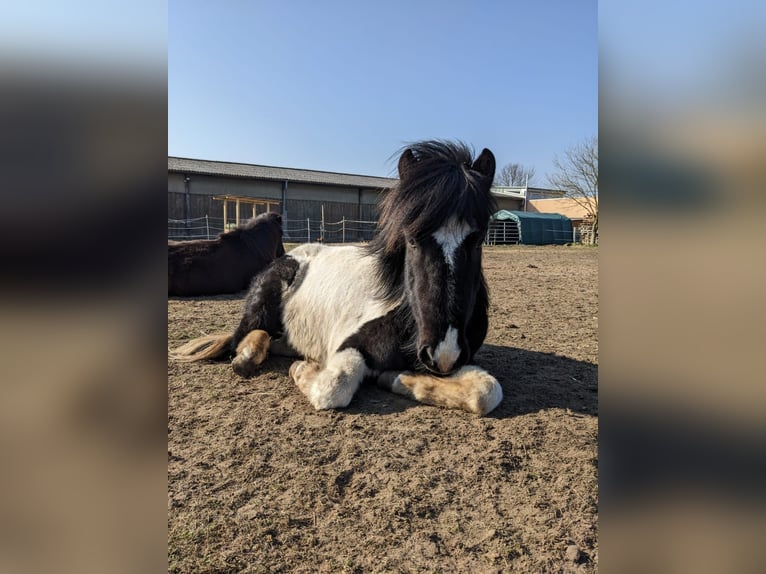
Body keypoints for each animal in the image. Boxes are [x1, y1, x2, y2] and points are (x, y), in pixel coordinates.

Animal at [176, 141, 510, 416]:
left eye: (477, 239)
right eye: (412, 239)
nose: (443, 352)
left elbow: (487, 392)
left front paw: (396, 378)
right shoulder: (350, 346)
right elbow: (333, 388)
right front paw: (302, 370)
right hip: (262, 306)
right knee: (244, 338)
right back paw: (249, 356)